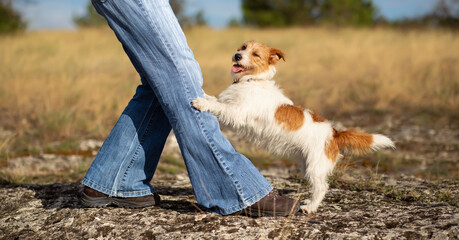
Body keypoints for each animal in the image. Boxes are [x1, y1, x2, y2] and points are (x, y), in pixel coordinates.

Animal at [191, 41, 396, 214]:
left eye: (255, 54)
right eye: (242, 47)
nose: (237, 55)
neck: (252, 81)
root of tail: (334, 133)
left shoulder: (237, 112)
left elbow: (220, 106)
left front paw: (202, 103)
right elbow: (215, 99)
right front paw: (204, 95)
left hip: (315, 167)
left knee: (322, 187)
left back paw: (310, 207)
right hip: (307, 165)